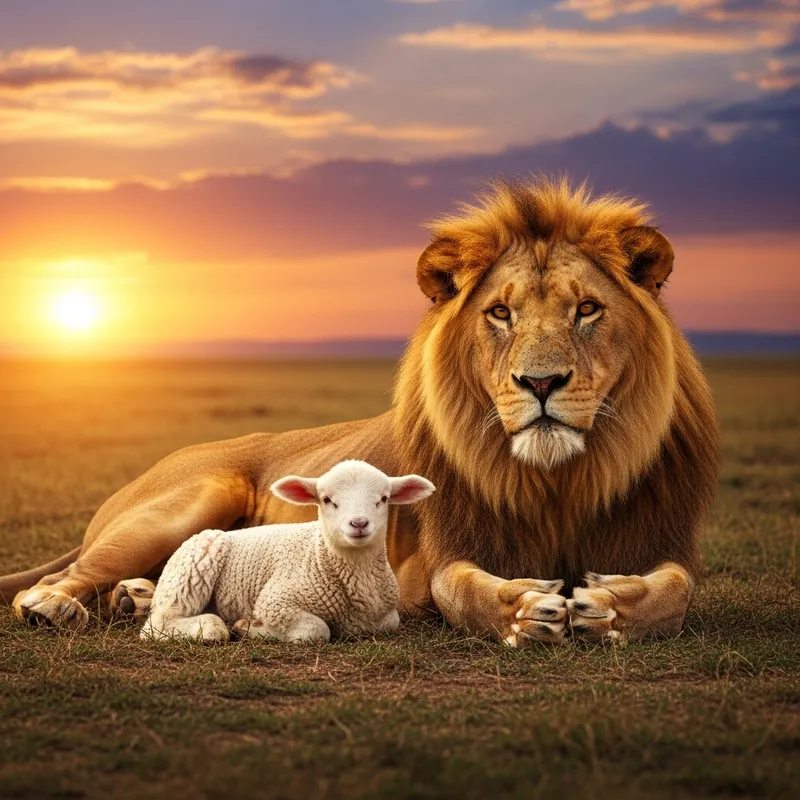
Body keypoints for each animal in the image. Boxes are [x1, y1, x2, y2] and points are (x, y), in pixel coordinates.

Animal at [140, 460, 435, 644]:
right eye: (326, 500)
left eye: (383, 499)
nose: (359, 524)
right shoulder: (276, 601)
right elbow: (316, 630)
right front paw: (249, 628)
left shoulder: (385, 615)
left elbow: (389, 623)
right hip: (194, 568)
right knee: (158, 624)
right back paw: (212, 629)